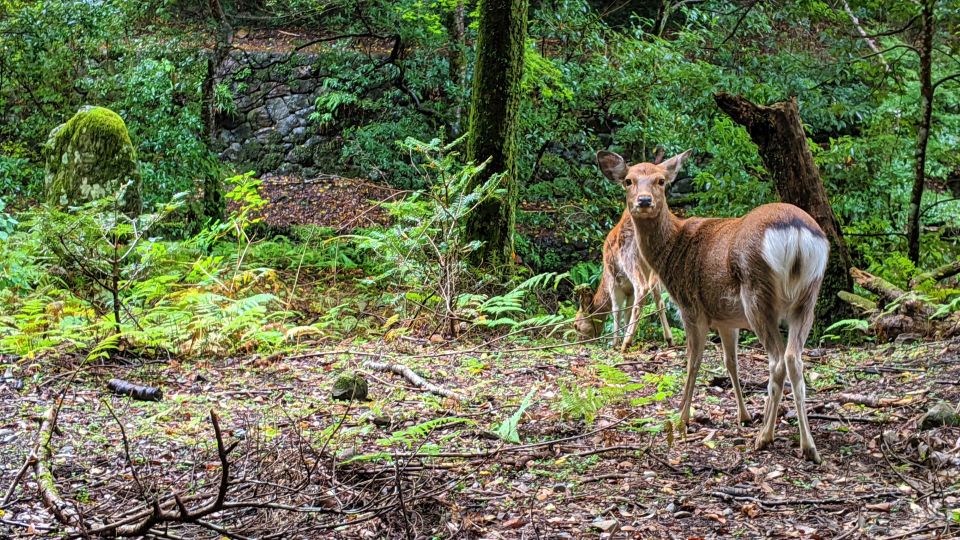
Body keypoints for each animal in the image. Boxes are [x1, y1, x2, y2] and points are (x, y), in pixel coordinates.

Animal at [572, 213, 680, 352]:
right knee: (659, 301)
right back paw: (670, 340)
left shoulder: (613, 282)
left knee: (642, 289)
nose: (578, 343)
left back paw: (625, 343)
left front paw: (615, 343)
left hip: (630, 258)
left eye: (576, 325)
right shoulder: (630, 290)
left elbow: (616, 310)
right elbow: (627, 311)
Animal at [600, 149, 832, 464]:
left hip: (757, 295)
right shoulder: (726, 320)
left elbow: (693, 360)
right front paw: (744, 416)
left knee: (777, 360)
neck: (672, 250)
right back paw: (808, 447)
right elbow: (730, 363)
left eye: (661, 180)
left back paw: (765, 437)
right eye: (628, 181)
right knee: (794, 358)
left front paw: (682, 417)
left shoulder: (691, 307)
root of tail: (795, 235)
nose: (644, 201)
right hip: (809, 296)